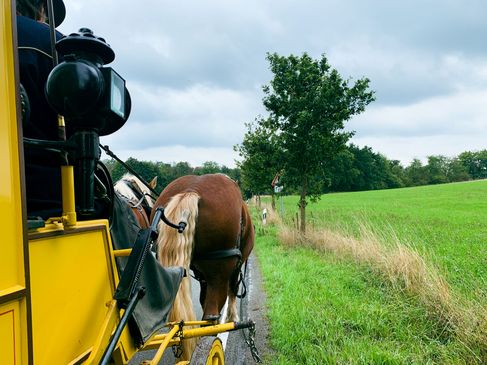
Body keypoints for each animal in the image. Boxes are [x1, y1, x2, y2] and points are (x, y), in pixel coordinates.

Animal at [152, 173, 255, 324]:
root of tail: (191, 191)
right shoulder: (236, 266)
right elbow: (233, 289)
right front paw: (232, 317)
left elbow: (202, 298)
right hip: (219, 271)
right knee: (211, 314)